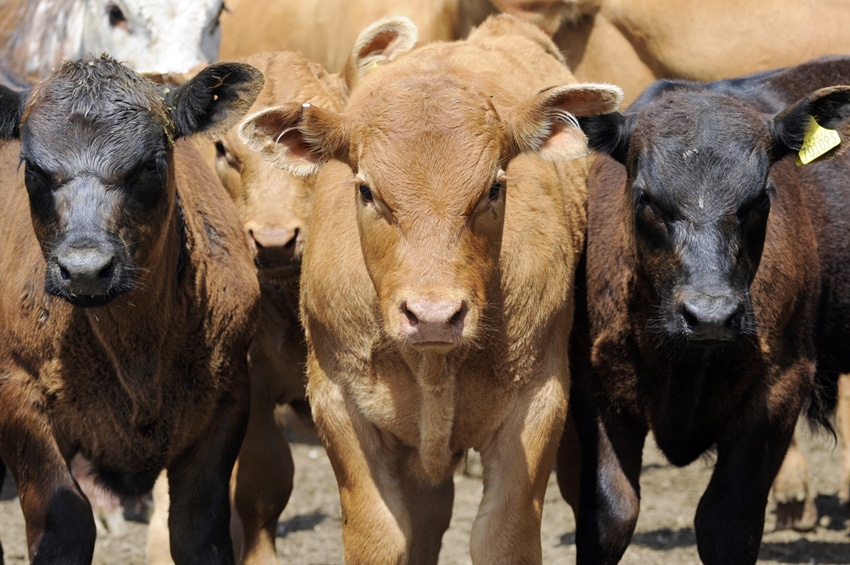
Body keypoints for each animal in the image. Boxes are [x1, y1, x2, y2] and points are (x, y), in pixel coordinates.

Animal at [0, 56, 262, 564]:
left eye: (149, 165)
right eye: (33, 170)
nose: (84, 270)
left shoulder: (230, 396)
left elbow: (198, 530)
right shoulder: (17, 394)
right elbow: (65, 525)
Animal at [235, 14, 620, 564]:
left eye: (494, 188)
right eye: (366, 190)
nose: (433, 315)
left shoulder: (540, 400)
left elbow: (502, 537)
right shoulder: (338, 403)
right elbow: (381, 535)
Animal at [560, 58, 848, 564]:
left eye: (761, 198)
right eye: (646, 197)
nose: (710, 315)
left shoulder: (783, 384)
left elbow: (725, 521)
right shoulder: (592, 383)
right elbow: (610, 513)